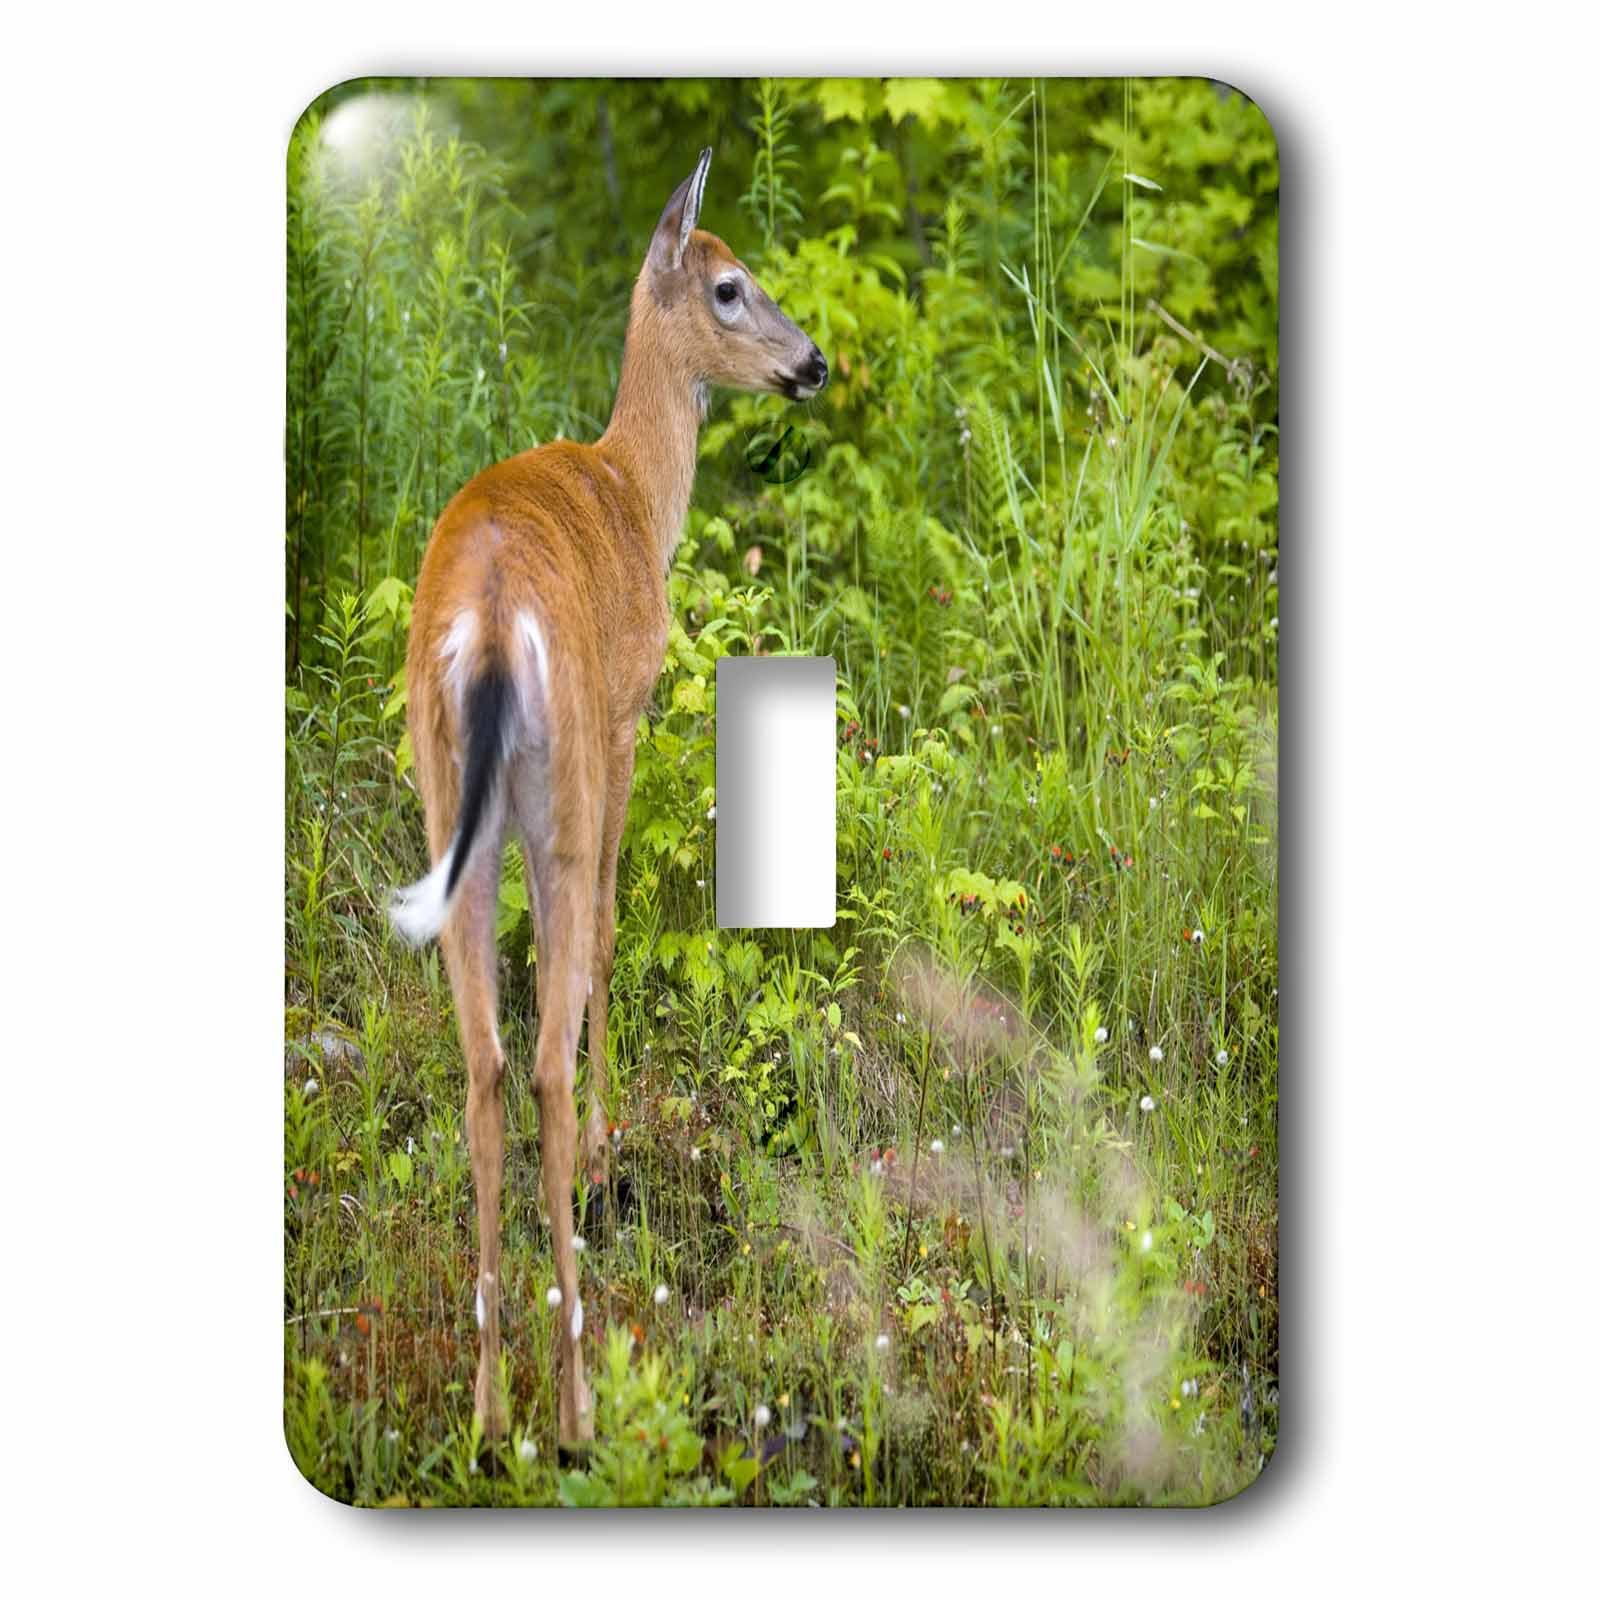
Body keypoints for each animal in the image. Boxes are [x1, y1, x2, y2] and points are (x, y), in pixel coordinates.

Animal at [386, 148, 828, 1450]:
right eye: (730, 284)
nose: (813, 363)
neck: (635, 487)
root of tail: (489, 625)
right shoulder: (631, 710)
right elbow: (614, 933)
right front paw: (606, 1145)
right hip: (564, 772)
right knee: (540, 1047)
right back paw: (577, 1395)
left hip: (446, 801)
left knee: (483, 1061)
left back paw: (491, 1407)